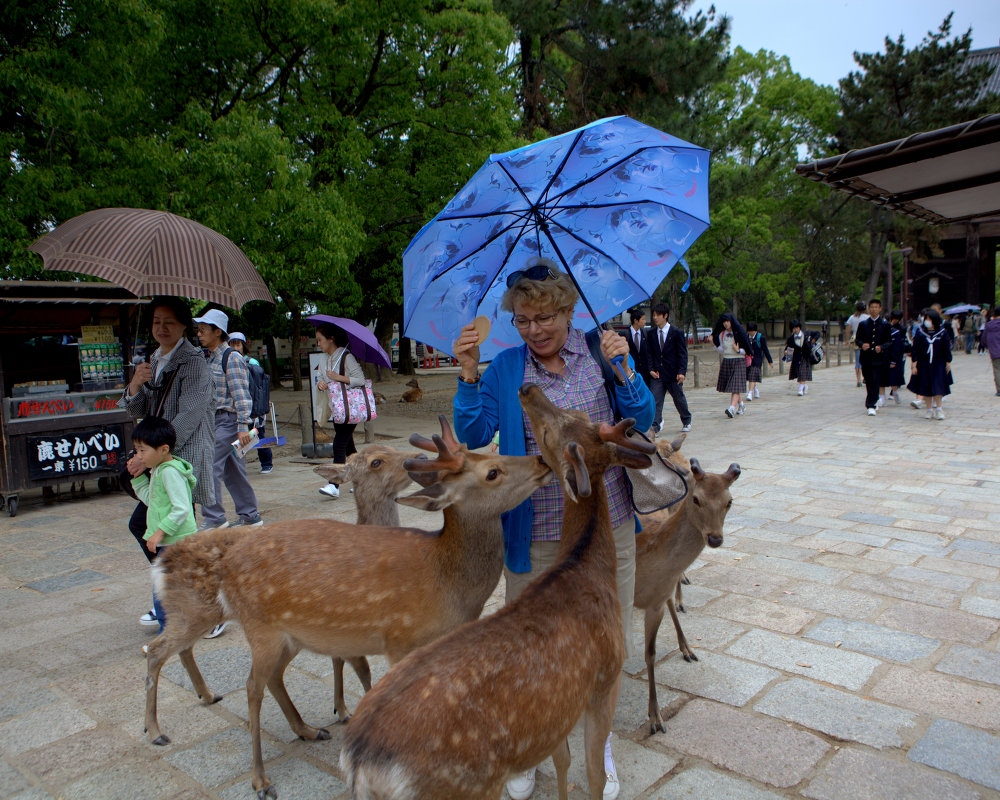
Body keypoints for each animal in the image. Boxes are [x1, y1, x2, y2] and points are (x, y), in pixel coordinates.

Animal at [142, 418, 552, 800]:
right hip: (259, 627)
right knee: (246, 685)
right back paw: (251, 775)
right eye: (492, 472)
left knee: (267, 676)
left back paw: (305, 730)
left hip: (289, 634)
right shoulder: (400, 637)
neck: (447, 581)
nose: (541, 460)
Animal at [340, 382, 660, 800]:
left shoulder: (554, 713)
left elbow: (563, 761)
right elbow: (593, 774)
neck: (584, 567)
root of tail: (362, 764)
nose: (527, 388)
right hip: (469, 785)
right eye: (550, 431)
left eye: (578, 417)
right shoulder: (604, 678)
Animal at [636, 454, 740, 736]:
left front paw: (655, 717)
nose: (715, 538)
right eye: (696, 499)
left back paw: (687, 648)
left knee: (673, 601)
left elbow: (650, 653)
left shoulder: (656, 601)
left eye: (729, 501)